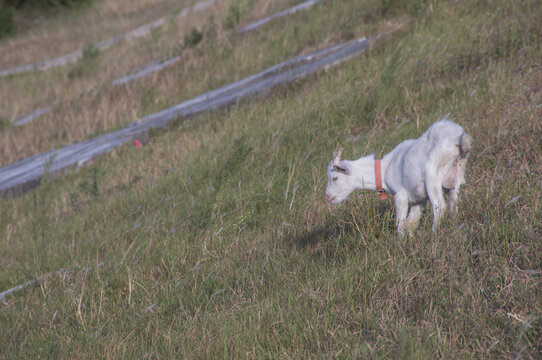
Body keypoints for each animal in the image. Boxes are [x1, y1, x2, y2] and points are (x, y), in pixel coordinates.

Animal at [328, 118, 472, 235]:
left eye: (334, 178)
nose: (328, 197)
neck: (385, 169)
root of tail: (459, 139)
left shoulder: (401, 195)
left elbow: (401, 222)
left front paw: (401, 242)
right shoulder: (417, 199)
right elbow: (411, 222)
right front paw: (410, 239)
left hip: (433, 176)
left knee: (440, 206)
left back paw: (434, 233)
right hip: (457, 175)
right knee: (454, 204)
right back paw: (453, 226)